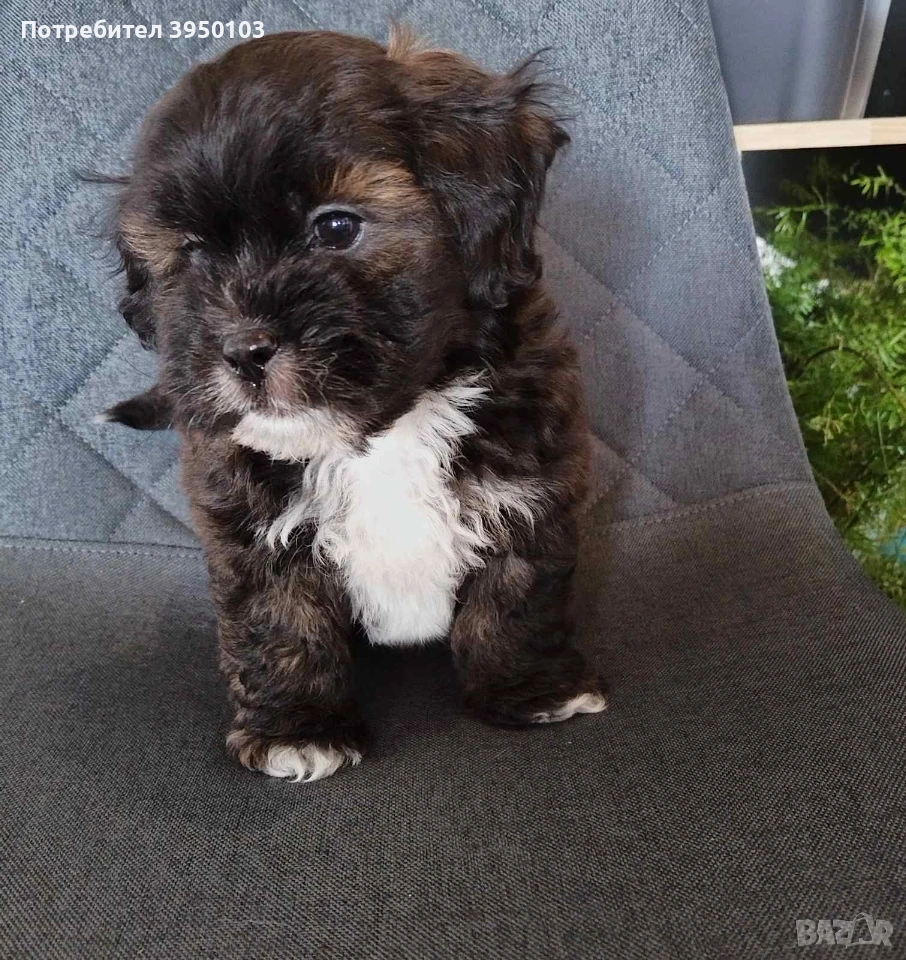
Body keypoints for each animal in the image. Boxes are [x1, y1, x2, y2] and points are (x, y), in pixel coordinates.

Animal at [102, 28, 605, 783]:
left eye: (336, 228)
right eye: (191, 253)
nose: (244, 349)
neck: (383, 430)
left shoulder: (530, 480)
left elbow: (517, 592)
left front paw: (529, 688)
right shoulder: (249, 521)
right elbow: (279, 619)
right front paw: (296, 728)